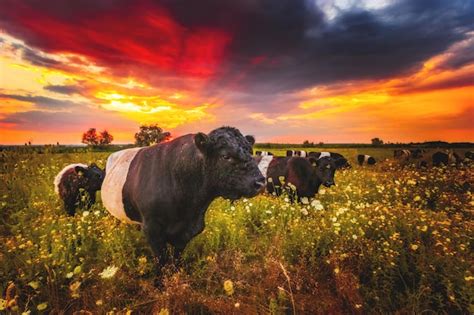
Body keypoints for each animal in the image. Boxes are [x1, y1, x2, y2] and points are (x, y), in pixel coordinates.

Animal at [100, 127, 264, 270]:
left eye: (251, 153)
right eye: (226, 156)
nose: (261, 182)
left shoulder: (188, 232)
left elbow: (176, 260)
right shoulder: (152, 231)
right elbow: (162, 263)